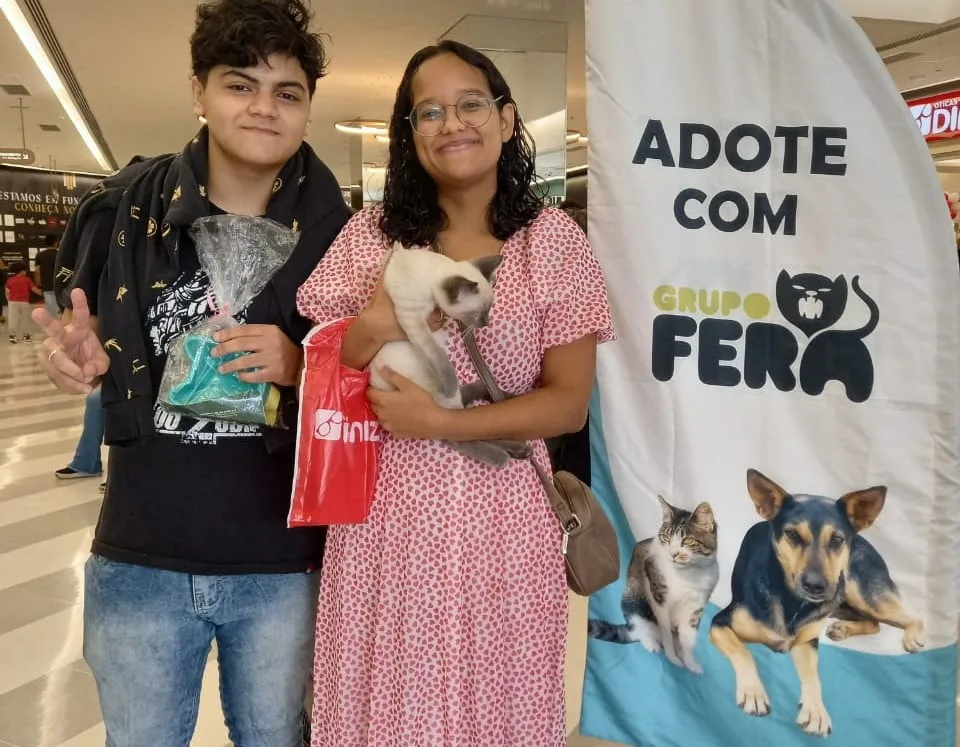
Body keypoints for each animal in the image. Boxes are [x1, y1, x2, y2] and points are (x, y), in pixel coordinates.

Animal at [369, 244, 529, 467]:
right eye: (478, 314)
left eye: (489, 310)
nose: (486, 323)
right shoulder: (412, 320)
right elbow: (439, 356)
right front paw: (450, 384)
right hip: (438, 401)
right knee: (455, 432)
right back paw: (502, 455)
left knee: (468, 420)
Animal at [587, 496, 719, 674]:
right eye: (666, 538)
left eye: (688, 541)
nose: (673, 554)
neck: (689, 575)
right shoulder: (660, 599)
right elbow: (667, 633)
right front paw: (673, 659)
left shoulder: (696, 608)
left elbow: (688, 639)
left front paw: (690, 663)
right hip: (633, 601)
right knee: (641, 629)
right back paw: (651, 644)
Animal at [709, 469, 924, 738]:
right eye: (792, 535)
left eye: (837, 539)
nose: (815, 586)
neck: (791, 601)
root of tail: (866, 543)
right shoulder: (720, 622)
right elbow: (743, 650)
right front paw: (753, 693)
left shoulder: (807, 643)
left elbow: (813, 677)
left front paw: (815, 711)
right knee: (874, 622)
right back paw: (843, 628)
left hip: (860, 592)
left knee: (909, 617)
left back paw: (911, 637)